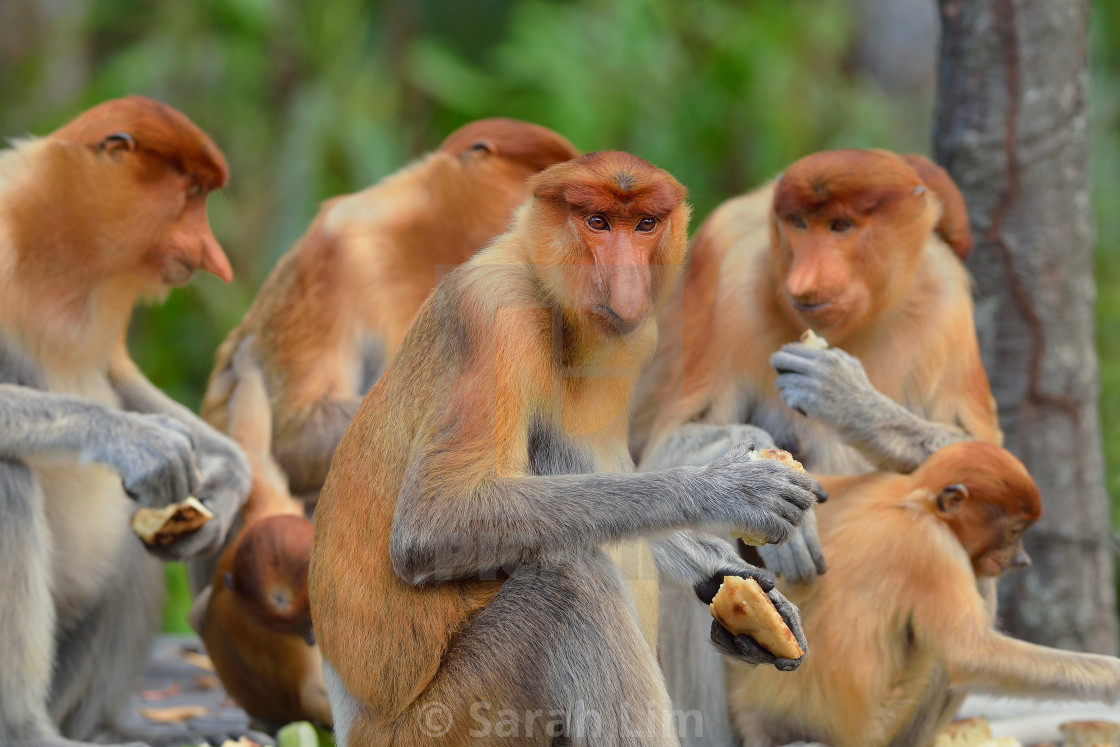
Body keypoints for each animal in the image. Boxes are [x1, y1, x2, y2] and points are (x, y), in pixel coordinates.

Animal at [0, 96, 247, 743]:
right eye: (191, 193)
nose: (216, 258)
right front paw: (139, 442)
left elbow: (116, 374)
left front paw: (229, 481)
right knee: (8, 480)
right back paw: (26, 729)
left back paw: (116, 727)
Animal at [306, 153, 824, 747]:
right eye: (596, 223)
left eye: (644, 224)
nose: (625, 284)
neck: (548, 297)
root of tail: (355, 726)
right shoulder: (493, 318)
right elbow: (433, 523)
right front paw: (734, 488)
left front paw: (731, 582)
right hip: (447, 722)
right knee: (569, 584)